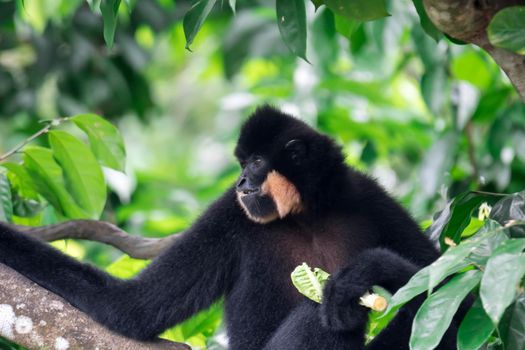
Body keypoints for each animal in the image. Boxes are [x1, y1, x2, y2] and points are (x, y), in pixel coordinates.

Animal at [0, 107, 456, 350]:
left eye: (254, 162)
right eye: (241, 164)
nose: (241, 182)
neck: (305, 215)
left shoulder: (367, 196)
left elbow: (448, 280)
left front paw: (370, 269)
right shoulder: (230, 214)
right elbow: (131, 307)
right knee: (322, 311)